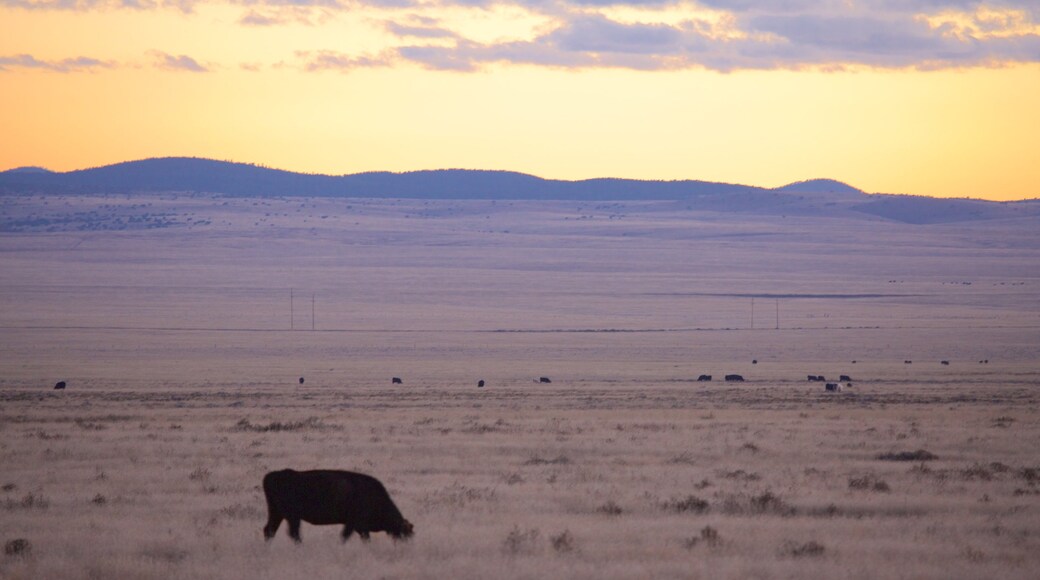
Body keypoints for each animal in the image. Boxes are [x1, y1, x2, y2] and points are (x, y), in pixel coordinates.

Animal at [260, 467, 413, 544]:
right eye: (404, 533)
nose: (405, 546)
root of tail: (272, 476)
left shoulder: (354, 525)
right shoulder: (357, 524)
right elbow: (353, 537)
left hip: (276, 513)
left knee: (269, 530)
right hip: (292, 517)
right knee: (293, 533)